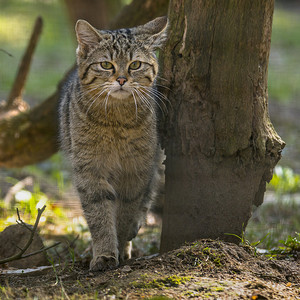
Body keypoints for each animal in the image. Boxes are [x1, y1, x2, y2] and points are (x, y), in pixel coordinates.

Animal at [57, 17, 168, 272]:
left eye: (135, 64)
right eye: (106, 65)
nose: (121, 80)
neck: (116, 122)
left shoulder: (137, 170)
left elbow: (127, 210)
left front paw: (122, 239)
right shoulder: (90, 170)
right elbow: (99, 216)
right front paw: (105, 253)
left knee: (145, 201)